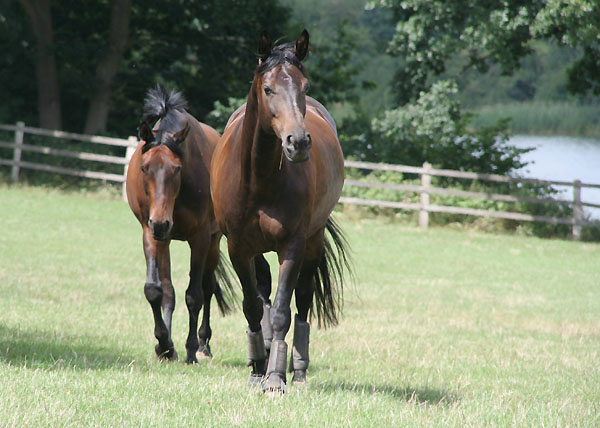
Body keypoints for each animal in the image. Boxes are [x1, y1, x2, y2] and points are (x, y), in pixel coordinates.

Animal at [127, 87, 234, 364]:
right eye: (145, 167)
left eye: (176, 169)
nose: (162, 222)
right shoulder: (150, 233)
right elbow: (157, 290)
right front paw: (164, 344)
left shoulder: (200, 238)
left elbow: (194, 296)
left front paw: (190, 349)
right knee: (169, 290)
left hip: (214, 242)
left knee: (208, 287)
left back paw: (204, 344)